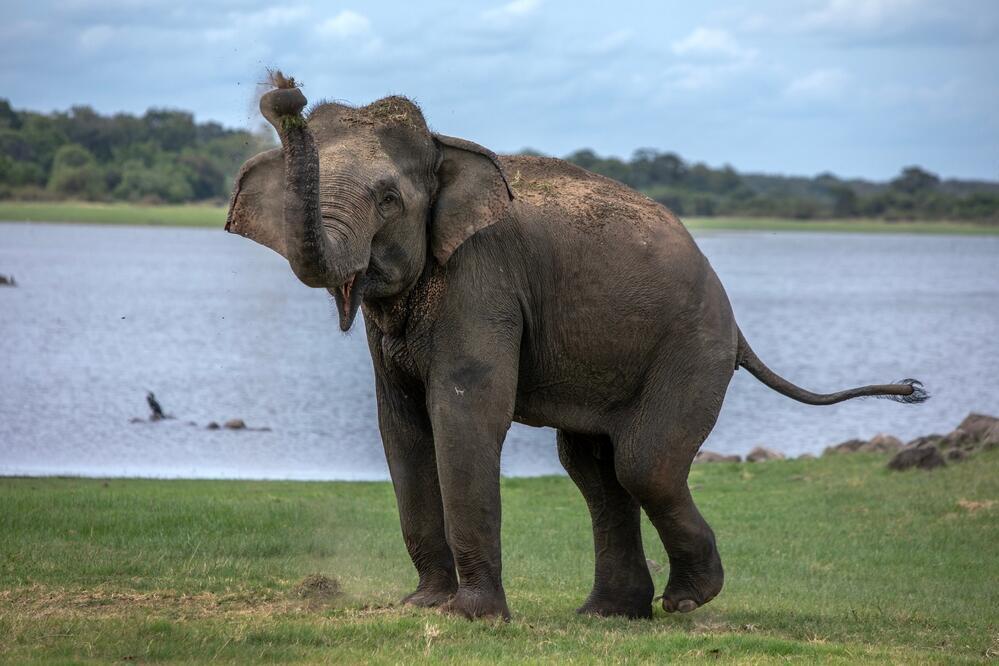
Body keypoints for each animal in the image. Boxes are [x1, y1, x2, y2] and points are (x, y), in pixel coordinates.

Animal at [226, 72, 927, 621]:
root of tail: (735, 325)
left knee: (644, 464)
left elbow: (464, 413)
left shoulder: (484, 277)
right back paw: (612, 613)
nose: (283, 93)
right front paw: (423, 605)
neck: (448, 148)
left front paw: (472, 618)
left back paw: (685, 600)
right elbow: (400, 425)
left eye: (390, 199)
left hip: (690, 347)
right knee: (594, 467)